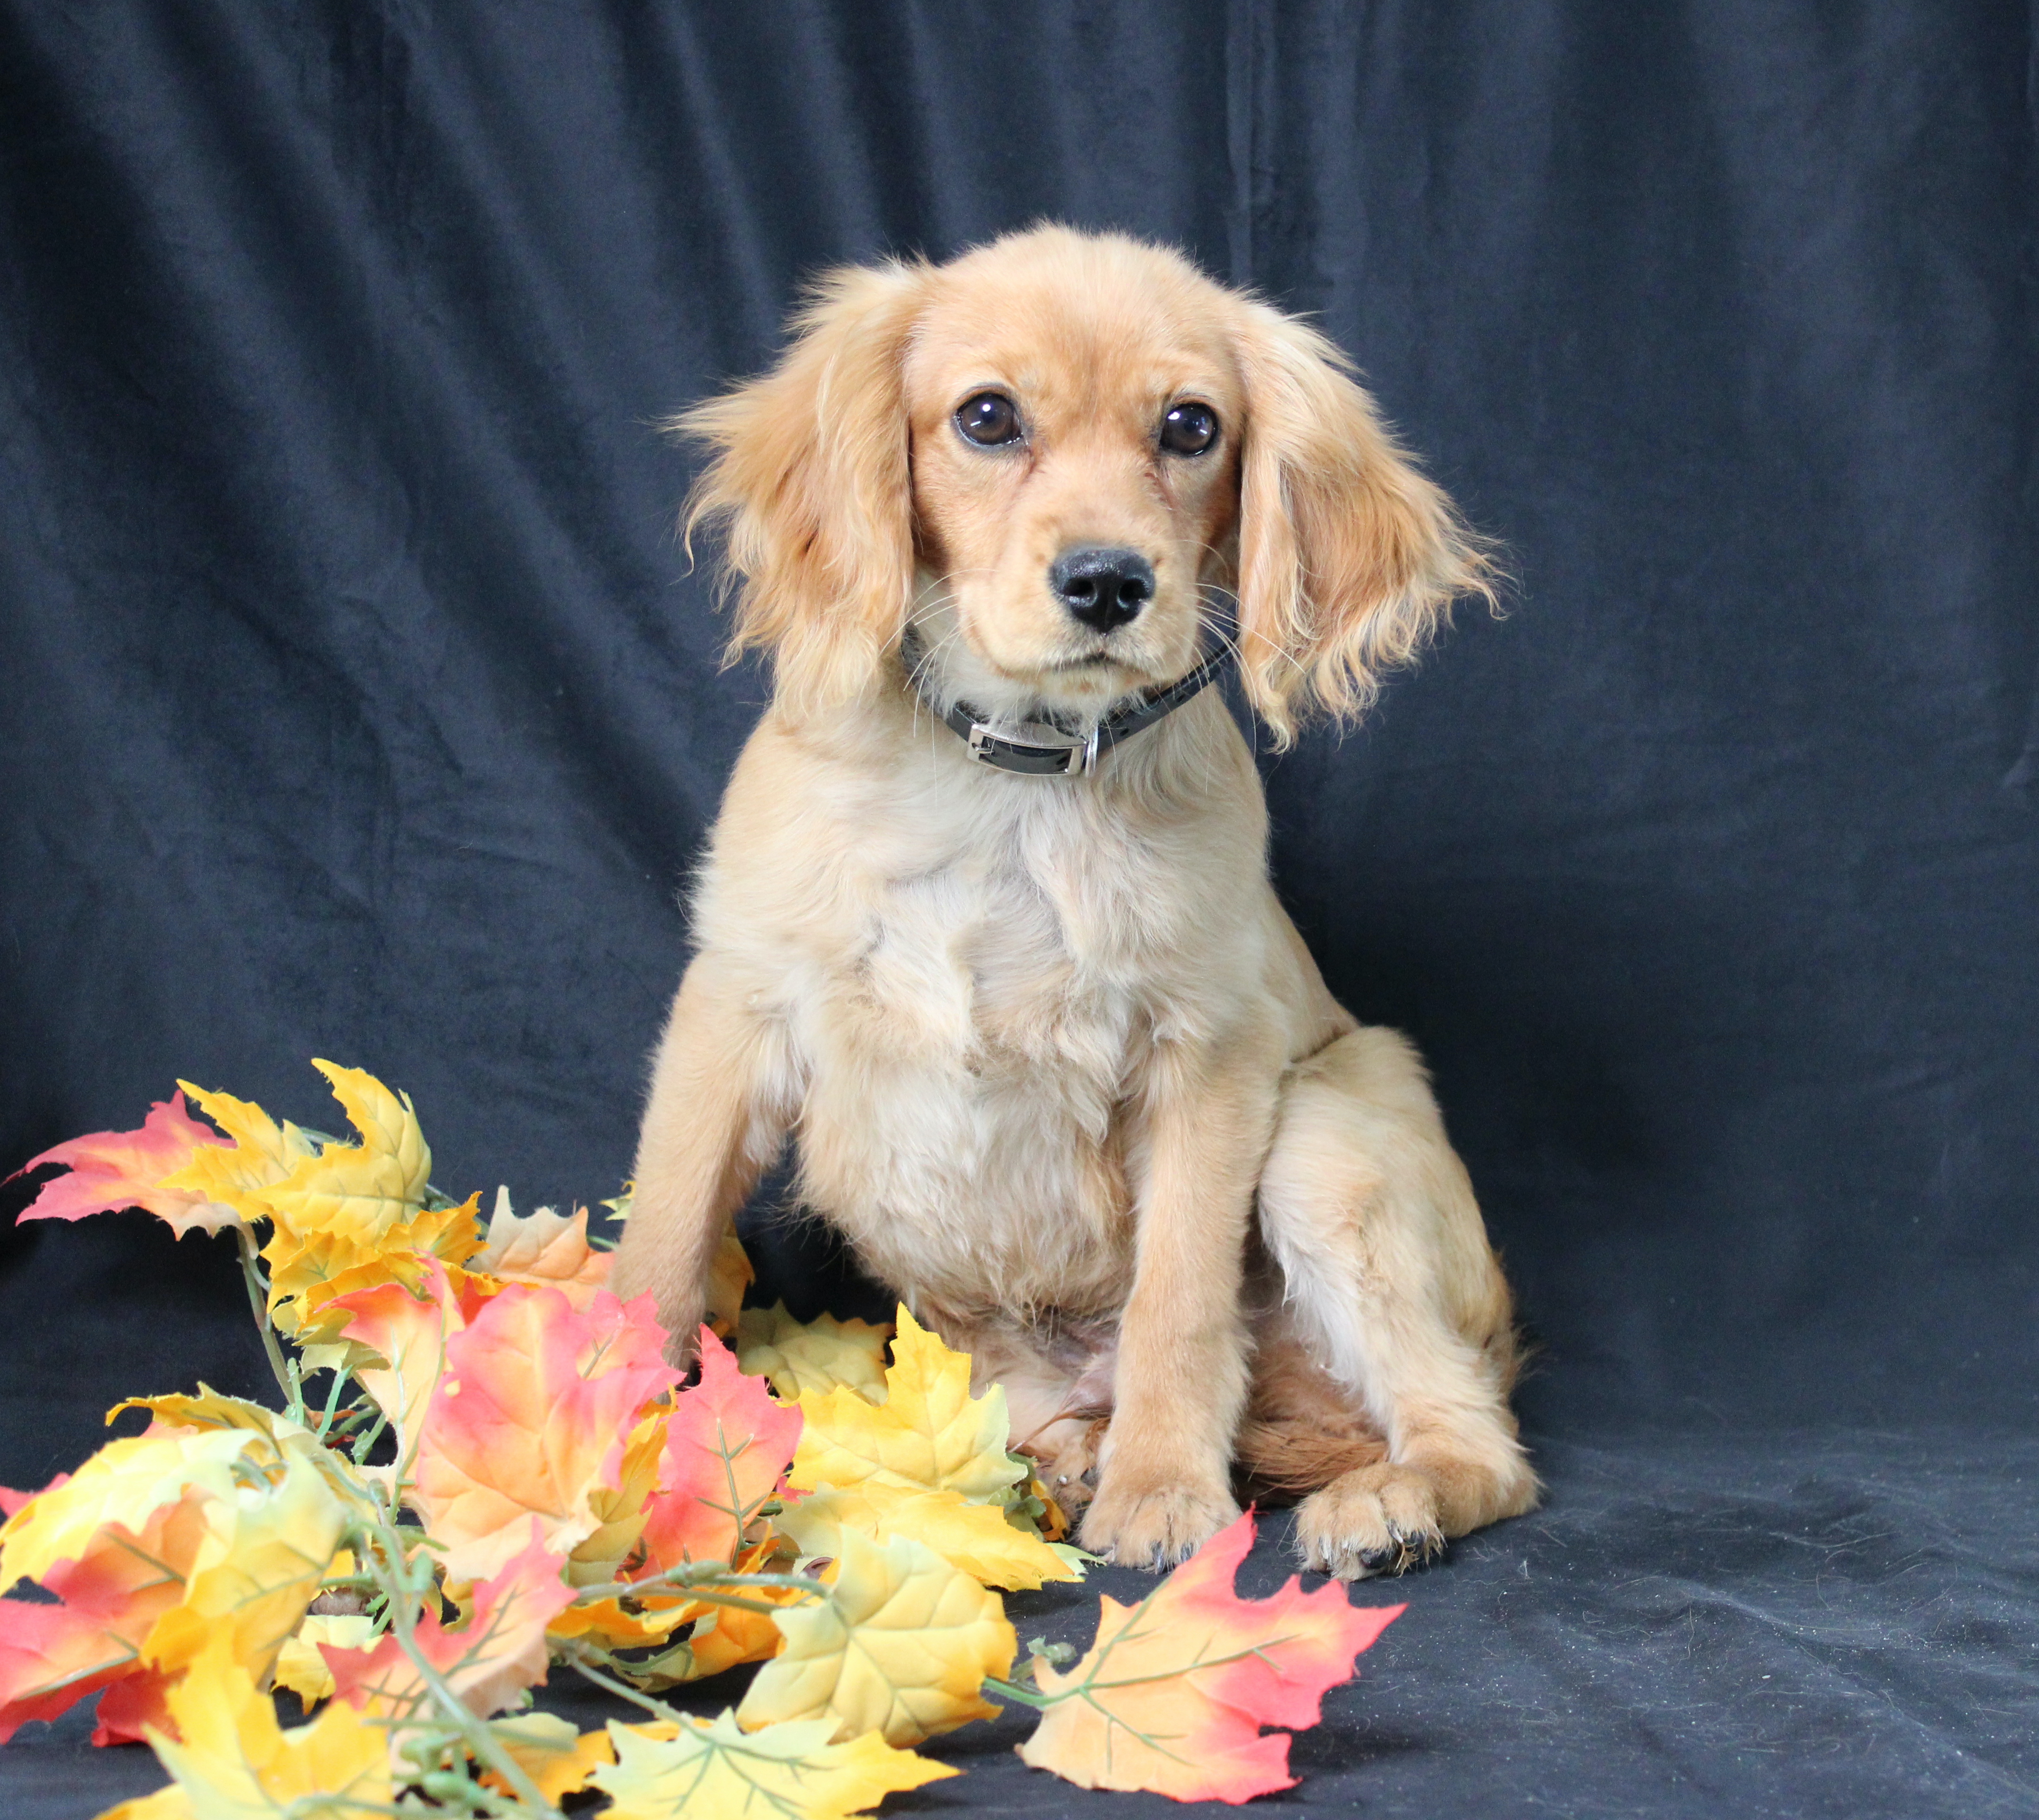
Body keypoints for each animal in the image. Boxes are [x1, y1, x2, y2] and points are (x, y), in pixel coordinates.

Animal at [612, 224, 1533, 1573]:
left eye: (1191, 427)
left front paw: (1162, 1488)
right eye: (987, 417)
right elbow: (661, 1247)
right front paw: (589, 1443)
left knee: (1476, 1440)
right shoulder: (736, 1005)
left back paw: (1382, 1502)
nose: (1107, 584)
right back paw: (1070, 1462)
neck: (1013, 779)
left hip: (1326, 1135)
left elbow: (1178, 1300)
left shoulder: (1205, 1059)